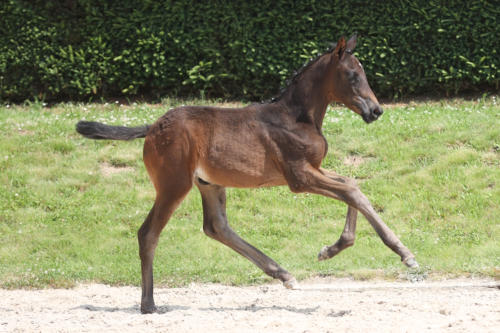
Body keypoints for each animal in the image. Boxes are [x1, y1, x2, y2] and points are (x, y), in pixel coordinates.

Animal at [75, 35, 418, 312]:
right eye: (352, 75)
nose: (376, 111)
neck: (297, 116)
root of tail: (152, 127)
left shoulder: (314, 169)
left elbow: (351, 183)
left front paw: (331, 249)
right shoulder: (299, 177)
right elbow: (353, 191)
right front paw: (405, 254)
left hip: (209, 183)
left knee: (216, 227)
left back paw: (284, 274)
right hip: (174, 185)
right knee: (149, 233)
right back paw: (148, 304)